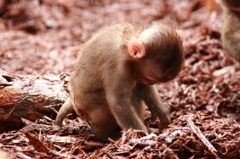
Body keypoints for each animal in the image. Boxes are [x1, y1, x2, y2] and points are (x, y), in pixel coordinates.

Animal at [56, 20, 184, 139]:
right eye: (150, 79)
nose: (151, 82)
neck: (127, 42)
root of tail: (74, 99)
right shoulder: (117, 66)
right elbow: (118, 101)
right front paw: (141, 134)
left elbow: (141, 85)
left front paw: (160, 111)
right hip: (86, 106)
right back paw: (104, 134)